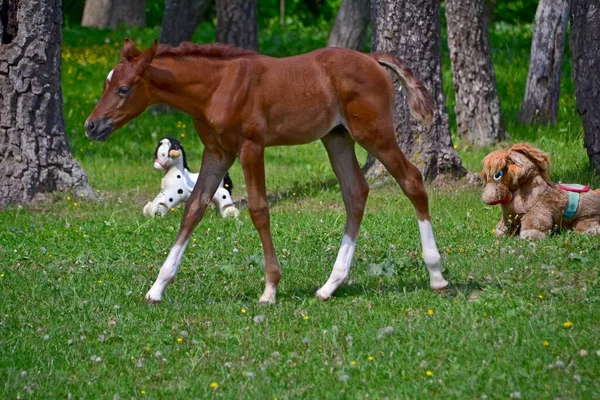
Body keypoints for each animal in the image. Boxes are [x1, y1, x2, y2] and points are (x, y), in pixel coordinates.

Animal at [85, 39, 450, 304]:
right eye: (105, 85)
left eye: (123, 89)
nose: (92, 126)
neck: (217, 86)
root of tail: (372, 58)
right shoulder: (218, 152)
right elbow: (193, 209)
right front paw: (157, 288)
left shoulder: (251, 147)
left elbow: (259, 209)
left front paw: (270, 289)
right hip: (337, 138)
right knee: (355, 193)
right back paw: (330, 285)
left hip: (374, 133)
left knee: (412, 180)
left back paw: (436, 275)